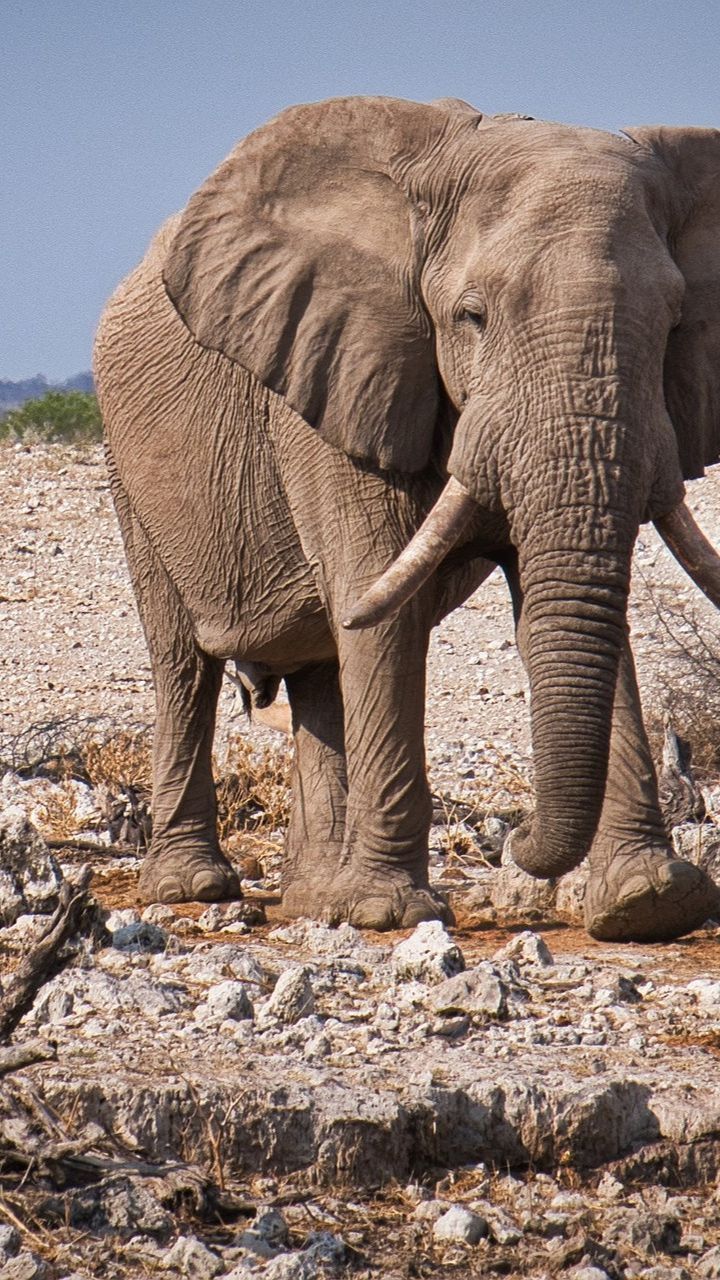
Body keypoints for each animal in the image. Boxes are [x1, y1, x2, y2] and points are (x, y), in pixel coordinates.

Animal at [94, 94, 717, 942]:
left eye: (676, 323)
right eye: (472, 317)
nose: (518, 841)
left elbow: (572, 602)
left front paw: (650, 903)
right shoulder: (338, 375)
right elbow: (378, 604)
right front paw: (388, 913)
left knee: (320, 667)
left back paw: (312, 900)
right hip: (129, 465)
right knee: (184, 661)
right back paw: (196, 888)